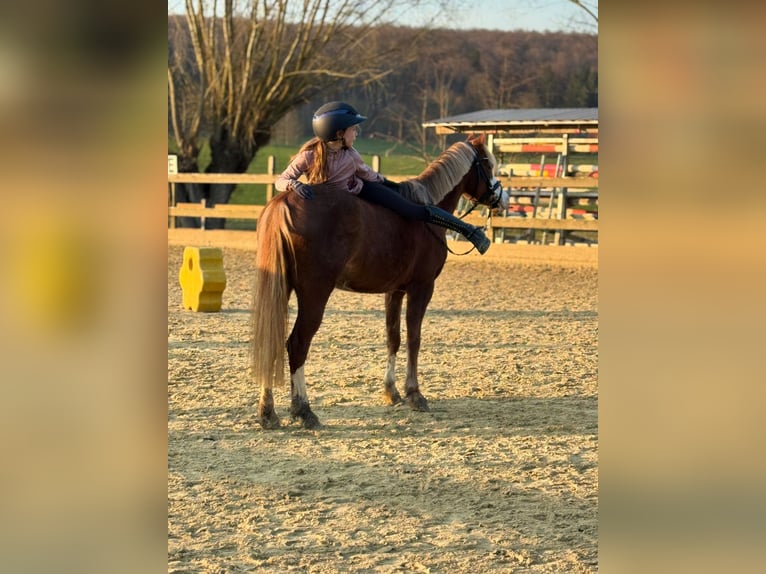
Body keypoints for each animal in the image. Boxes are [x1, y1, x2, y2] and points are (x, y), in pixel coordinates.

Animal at [250, 134, 507, 429]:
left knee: (271, 342)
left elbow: (392, 338)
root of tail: (284, 202)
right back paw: (303, 410)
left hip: (282, 290)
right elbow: (414, 338)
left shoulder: (394, 291)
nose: (503, 198)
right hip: (315, 294)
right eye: (487, 164)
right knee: (297, 344)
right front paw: (414, 394)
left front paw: (391, 391)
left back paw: (268, 412)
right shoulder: (422, 288)